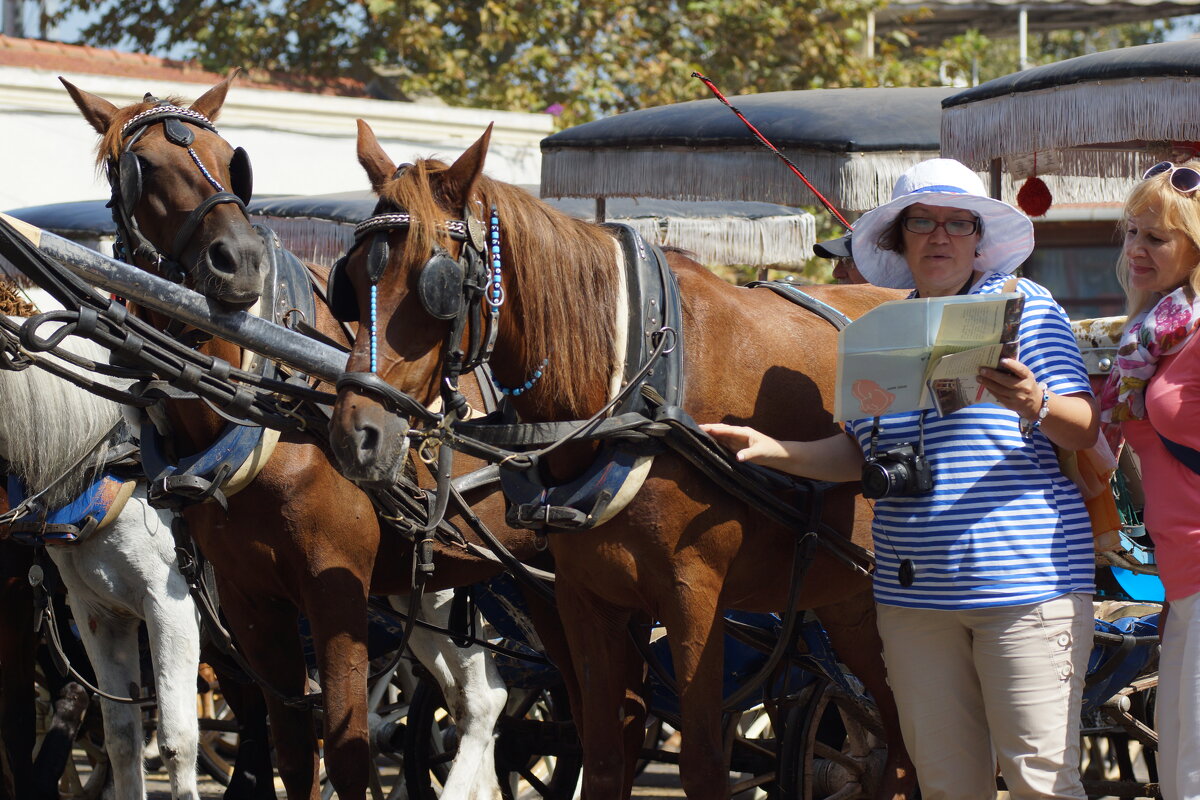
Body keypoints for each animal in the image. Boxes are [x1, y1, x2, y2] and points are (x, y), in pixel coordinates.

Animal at [62, 76, 571, 800]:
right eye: (143, 169)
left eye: (231, 162)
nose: (240, 260)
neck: (273, 423)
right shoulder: (252, 603)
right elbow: (294, 752)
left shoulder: (335, 594)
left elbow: (348, 749)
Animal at [328, 120, 916, 800]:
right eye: (350, 282)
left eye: (436, 284)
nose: (355, 435)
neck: (632, 386)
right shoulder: (587, 599)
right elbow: (605, 755)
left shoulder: (695, 599)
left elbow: (704, 765)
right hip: (848, 599)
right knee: (901, 745)